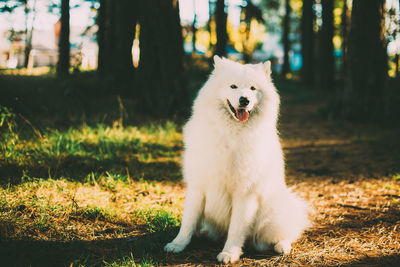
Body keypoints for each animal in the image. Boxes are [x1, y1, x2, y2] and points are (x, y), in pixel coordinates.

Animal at [164, 56, 308, 264]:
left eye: (253, 89)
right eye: (233, 86)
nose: (244, 100)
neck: (231, 133)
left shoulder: (244, 193)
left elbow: (236, 228)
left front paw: (229, 253)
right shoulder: (198, 186)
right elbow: (188, 221)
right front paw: (178, 244)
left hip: (272, 216)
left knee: (287, 233)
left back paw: (282, 246)